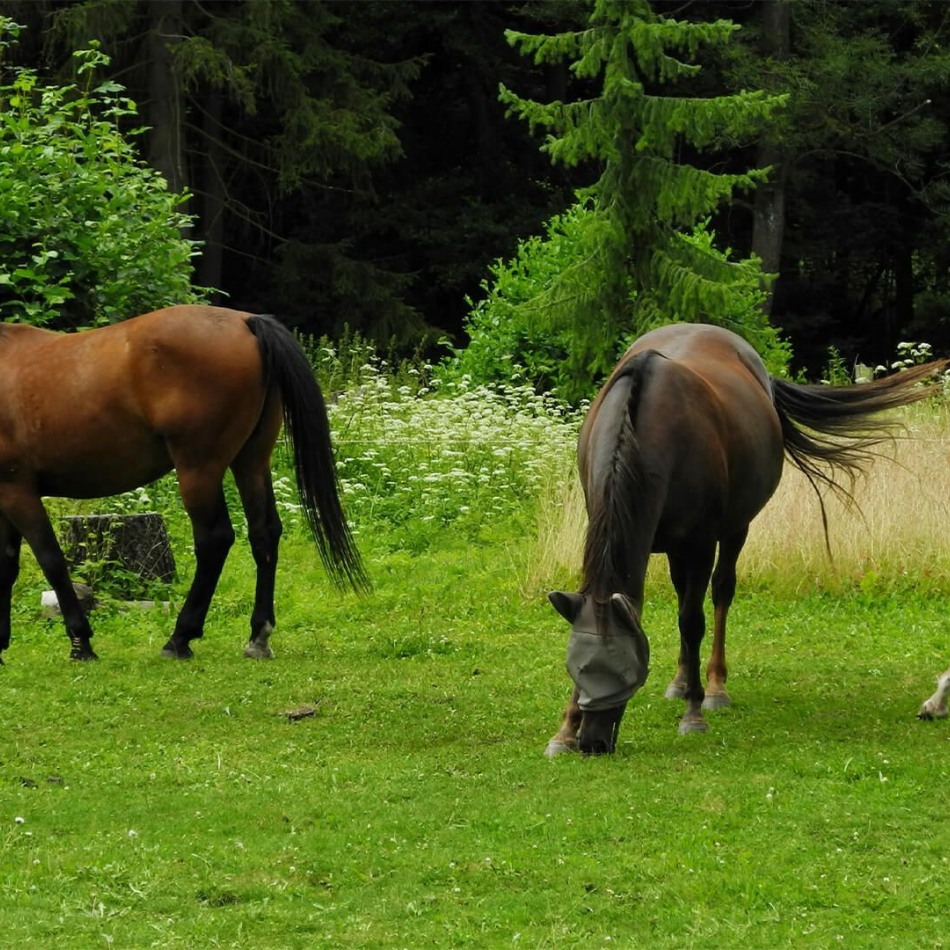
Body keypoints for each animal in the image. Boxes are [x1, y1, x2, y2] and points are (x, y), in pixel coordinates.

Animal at [0, 304, 368, 660]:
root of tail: (246, 321)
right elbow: (8, 563)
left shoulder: (18, 491)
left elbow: (51, 561)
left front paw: (81, 642)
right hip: (251, 462)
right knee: (264, 533)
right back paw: (258, 637)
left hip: (198, 470)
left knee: (214, 540)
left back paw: (180, 637)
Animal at [548, 324, 948, 756]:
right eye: (577, 666)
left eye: (624, 671)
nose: (592, 742)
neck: (646, 428)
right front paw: (563, 731)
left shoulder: (701, 543)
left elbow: (693, 622)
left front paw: (694, 713)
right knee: (683, 594)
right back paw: (680, 681)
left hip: (734, 529)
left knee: (720, 593)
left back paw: (714, 687)